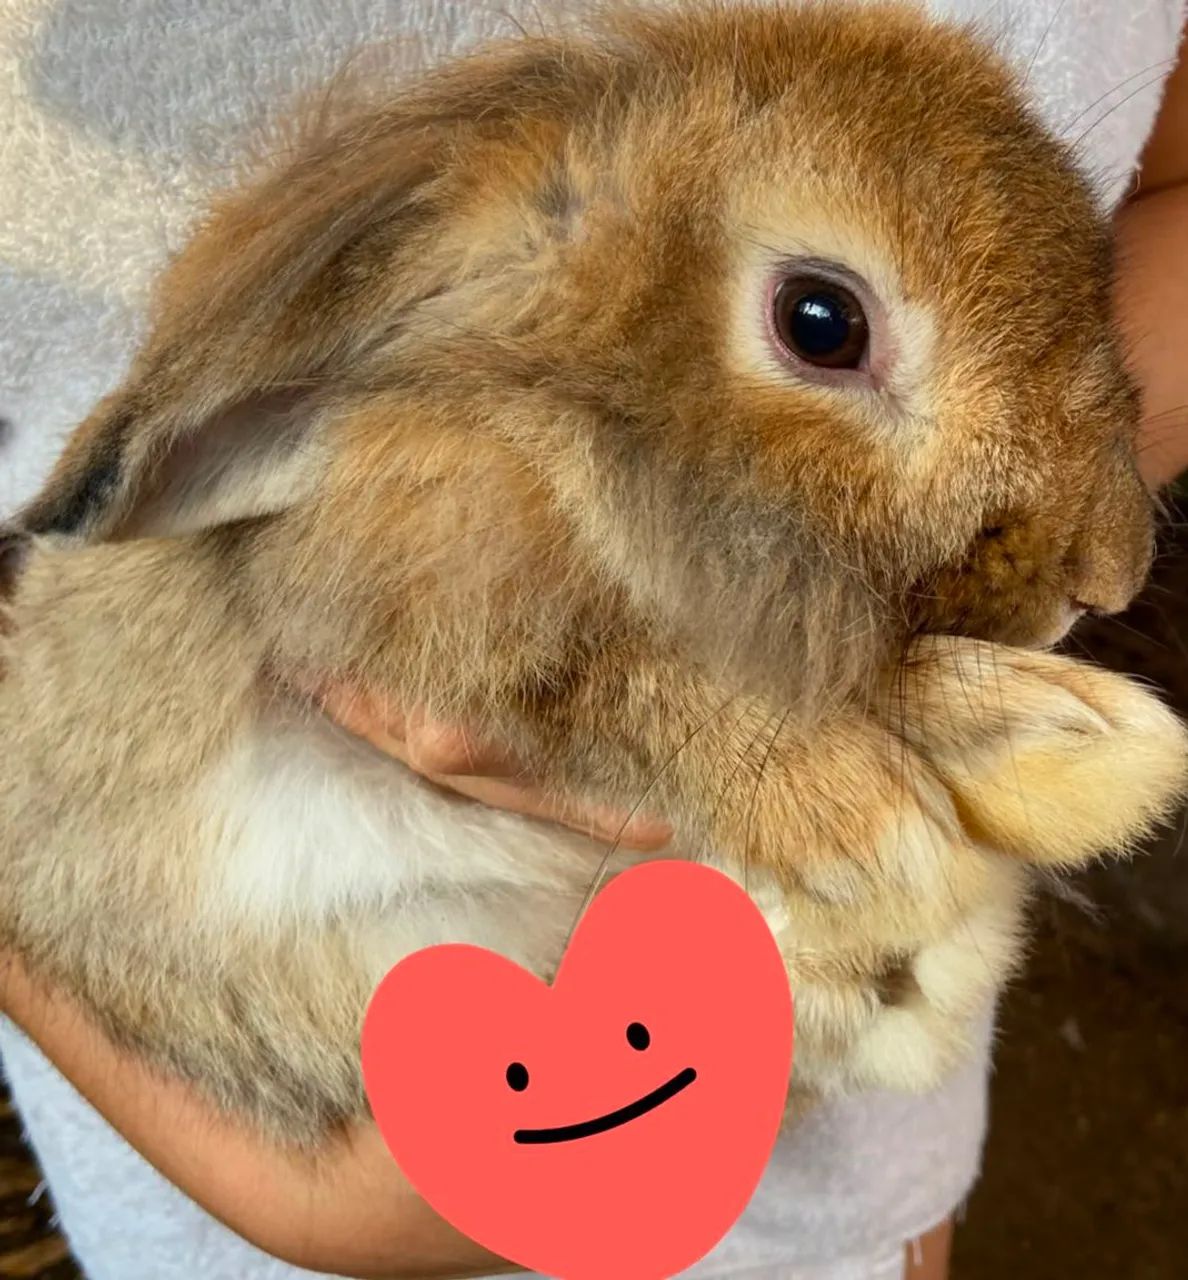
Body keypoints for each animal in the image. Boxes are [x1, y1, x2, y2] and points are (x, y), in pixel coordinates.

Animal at [2, 0, 1187, 1147]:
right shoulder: (429, 603)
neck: (557, 439)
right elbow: (630, 676)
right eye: (821, 322)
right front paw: (877, 825)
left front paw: (1078, 751)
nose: (1107, 574)